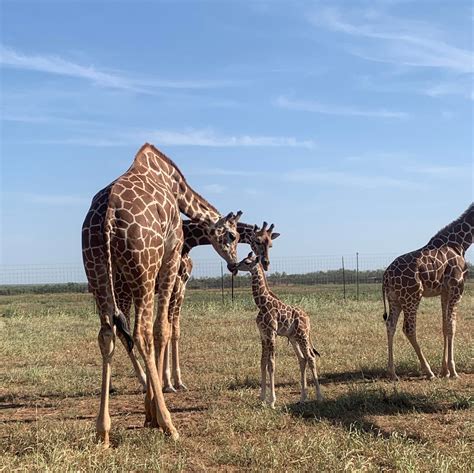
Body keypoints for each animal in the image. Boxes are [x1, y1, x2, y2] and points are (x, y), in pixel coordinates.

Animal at [82, 142, 243, 444]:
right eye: (231, 235)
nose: (234, 263)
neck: (173, 185)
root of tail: (107, 217)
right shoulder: (170, 258)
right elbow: (163, 329)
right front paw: (153, 413)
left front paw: (150, 410)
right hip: (142, 271)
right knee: (142, 332)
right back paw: (169, 424)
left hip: (98, 271)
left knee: (108, 334)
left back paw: (103, 431)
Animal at [235, 251, 324, 406]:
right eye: (242, 259)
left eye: (246, 262)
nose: (233, 265)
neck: (262, 304)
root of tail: (308, 319)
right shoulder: (263, 335)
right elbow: (262, 362)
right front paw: (262, 398)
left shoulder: (271, 334)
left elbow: (271, 364)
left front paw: (272, 401)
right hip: (294, 338)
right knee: (302, 359)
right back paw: (303, 398)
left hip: (303, 335)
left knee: (311, 357)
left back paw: (319, 397)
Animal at [384, 203, 472, 380]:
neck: (460, 243)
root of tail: (386, 275)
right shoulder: (457, 287)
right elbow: (452, 325)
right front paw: (453, 371)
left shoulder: (444, 291)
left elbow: (445, 326)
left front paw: (445, 371)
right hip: (412, 296)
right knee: (408, 328)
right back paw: (428, 371)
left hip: (394, 298)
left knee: (390, 325)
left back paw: (393, 372)